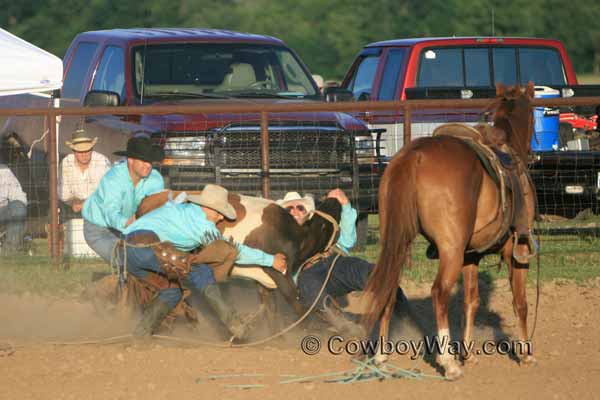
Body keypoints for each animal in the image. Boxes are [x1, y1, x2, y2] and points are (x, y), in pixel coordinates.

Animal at [366, 83, 540, 378]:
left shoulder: (471, 255)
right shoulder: (518, 251)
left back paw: (381, 354)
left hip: (398, 242)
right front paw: (526, 354)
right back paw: (448, 363)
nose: (531, 154)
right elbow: (521, 302)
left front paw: (468, 354)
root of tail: (415, 155)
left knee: (388, 287)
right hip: (451, 249)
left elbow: (471, 301)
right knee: (439, 292)